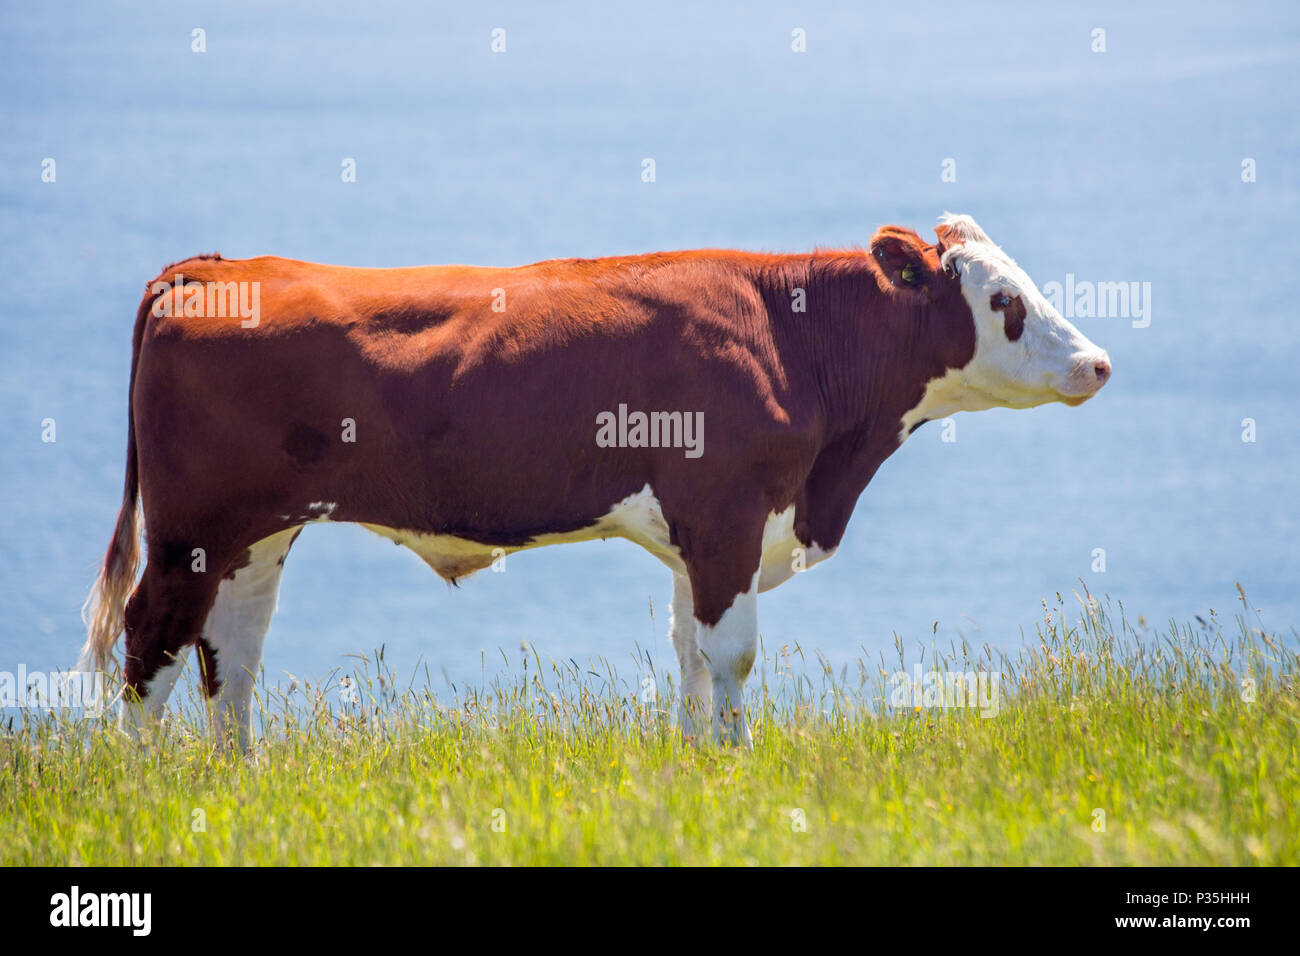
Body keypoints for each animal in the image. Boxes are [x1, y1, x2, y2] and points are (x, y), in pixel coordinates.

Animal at [81, 214, 1112, 749]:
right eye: (1003, 300)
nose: (1096, 363)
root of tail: (212, 266)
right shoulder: (728, 511)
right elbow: (732, 655)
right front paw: (738, 766)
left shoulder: (703, 533)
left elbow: (691, 655)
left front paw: (701, 768)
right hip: (190, 529)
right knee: (150, 644)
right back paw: (150, 791)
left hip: (256, 535)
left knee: (231, 656)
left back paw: (236, 781)